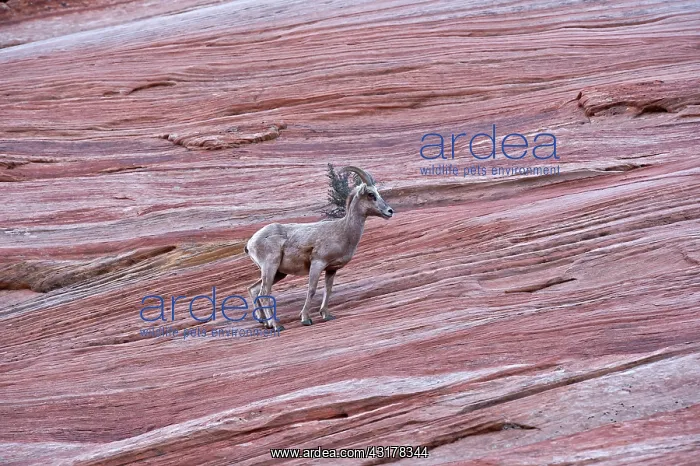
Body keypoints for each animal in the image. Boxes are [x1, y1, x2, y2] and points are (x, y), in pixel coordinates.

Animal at [244, 166, 393, 331]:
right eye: (371, 195)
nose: (390, 211)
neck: (342, 231)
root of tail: (250, 243)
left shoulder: (331, 269)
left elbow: (328, 290)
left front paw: (326, 315)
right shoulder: (317, 263)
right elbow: (312, 289)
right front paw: (305, 319)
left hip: (279, 273)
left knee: (254, 290)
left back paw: (266, 323)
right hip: (270, 267)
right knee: (264, 292)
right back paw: (277, 325)